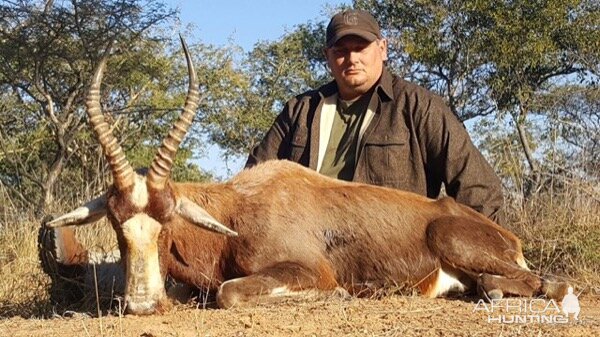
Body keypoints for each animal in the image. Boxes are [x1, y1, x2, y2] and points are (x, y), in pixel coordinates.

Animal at [44, 37, 568, 316]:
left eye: (166, 218)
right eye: (115, 222)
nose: (140, 304)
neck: (240, 206)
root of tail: (505, 235)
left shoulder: (305, 270)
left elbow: (230, 292)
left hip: (456, 241)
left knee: (553, 283)